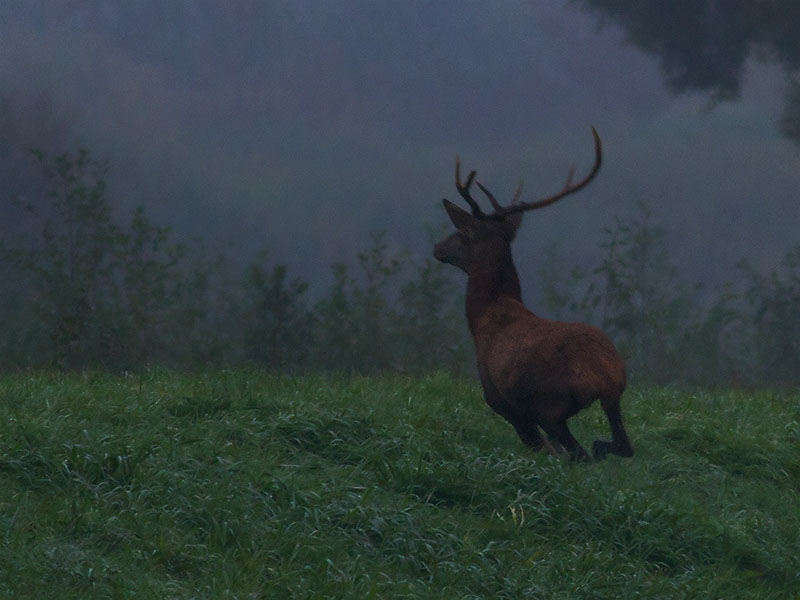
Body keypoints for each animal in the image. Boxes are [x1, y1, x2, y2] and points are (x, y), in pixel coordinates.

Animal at [434, 129, 636, 462]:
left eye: (461, 234)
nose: (438, 248)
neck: (483, 316)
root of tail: (601, 374)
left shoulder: (503, 402)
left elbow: (538, 445)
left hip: (549, 406)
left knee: (577, 452)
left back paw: (591, 451)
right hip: (613, 398)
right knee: (624, 445)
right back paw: (601, 447)